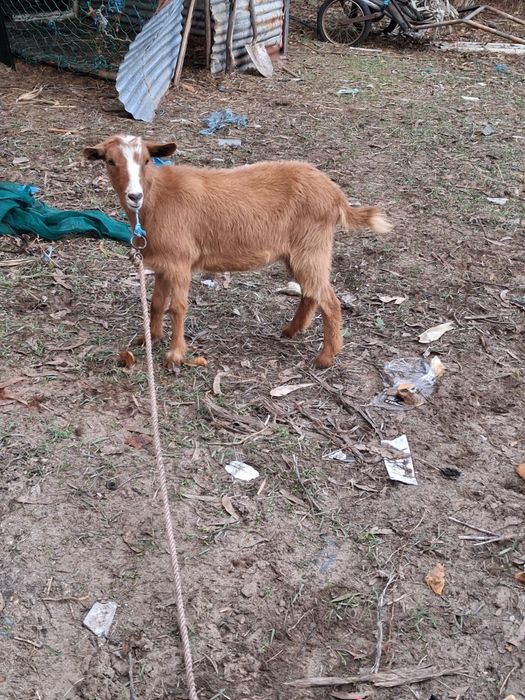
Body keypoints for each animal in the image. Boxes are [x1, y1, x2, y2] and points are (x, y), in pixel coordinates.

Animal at [84, 135, 391, 368]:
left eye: (146, 160)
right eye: (110, 161)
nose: (134, 196)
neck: (157, 198)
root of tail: (337, 196)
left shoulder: (181, 260)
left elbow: (177, 307)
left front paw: (175, 355)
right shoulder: (163, 262)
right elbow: (157, 303)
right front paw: (150, 339)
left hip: (312, 247)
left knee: (329, 300)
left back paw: (325, 357)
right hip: (297, 252)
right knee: (310, 293)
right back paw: (291, 331)